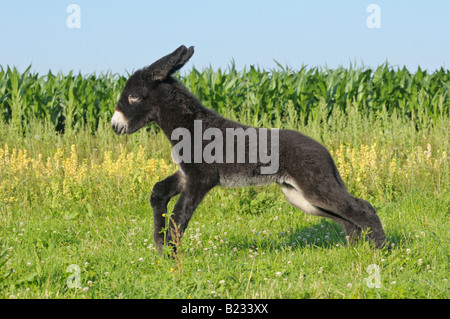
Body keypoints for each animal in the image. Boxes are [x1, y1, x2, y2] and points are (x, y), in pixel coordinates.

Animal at [110, 45, 384, 255]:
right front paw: (160, 246)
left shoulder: (201, 179)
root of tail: (325, 152)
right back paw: (354, 249)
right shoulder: (185, 175)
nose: (114, 126)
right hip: (300, 197)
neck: (190, 125)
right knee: (346, 217)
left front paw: (172, 257)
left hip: (315, 188)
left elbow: (179, 218)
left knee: (362, 207)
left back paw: (381, 250)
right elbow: (158, 193)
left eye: (134, 96)